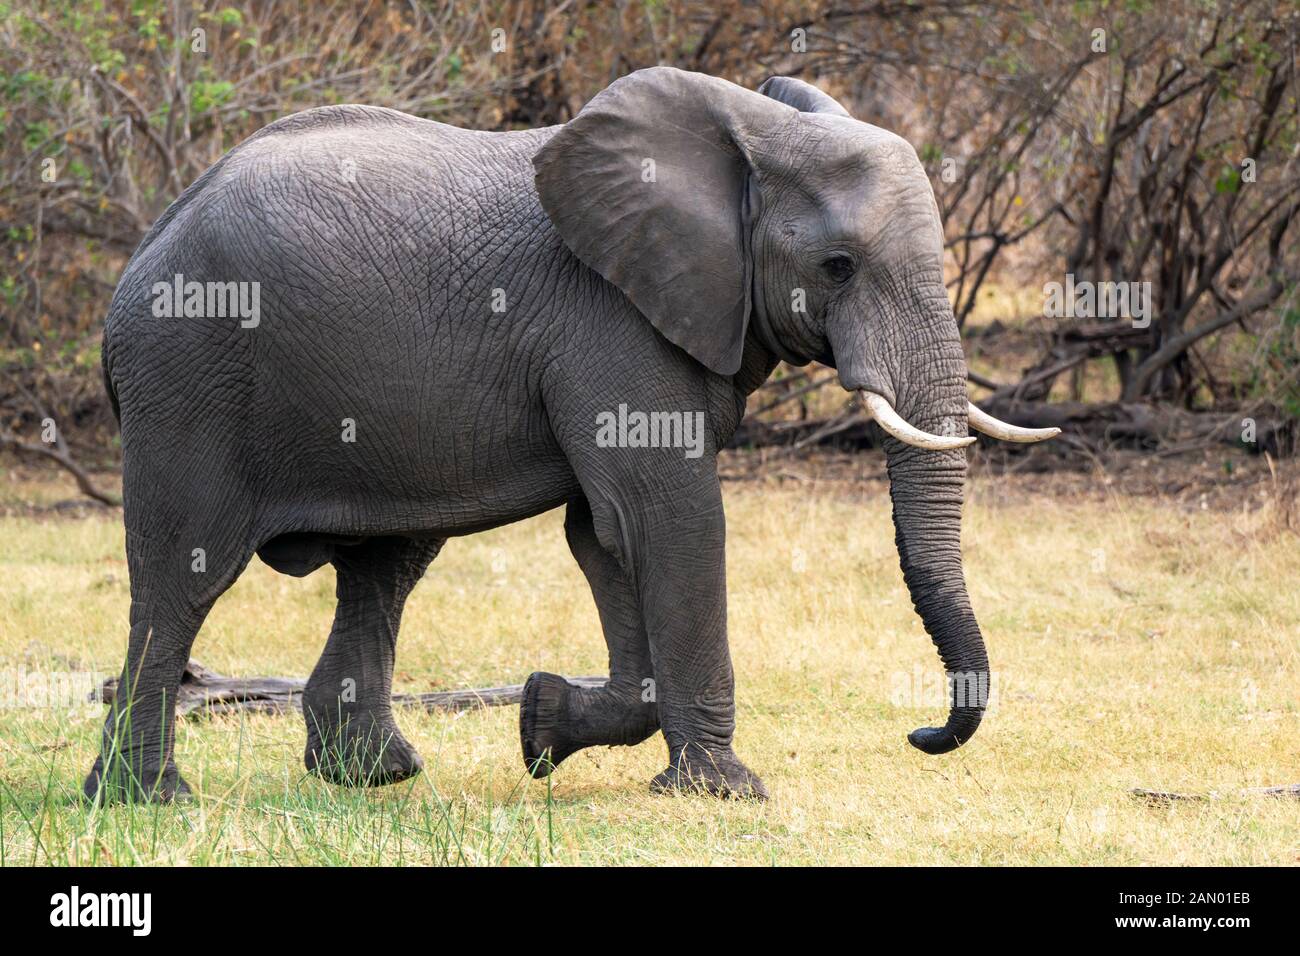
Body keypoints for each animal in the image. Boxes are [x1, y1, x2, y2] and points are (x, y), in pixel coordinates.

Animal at [86, 63, 1055, 806]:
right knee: (183, 577)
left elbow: (603, 534)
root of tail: (141, 254)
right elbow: (666, 519)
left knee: (385, 565)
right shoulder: (610, 321)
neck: (751, 135)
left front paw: (540, 724)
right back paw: (148, 799)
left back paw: (371, 776)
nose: (922, 732)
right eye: (838, 266)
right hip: (188, 379)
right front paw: (728, 792)